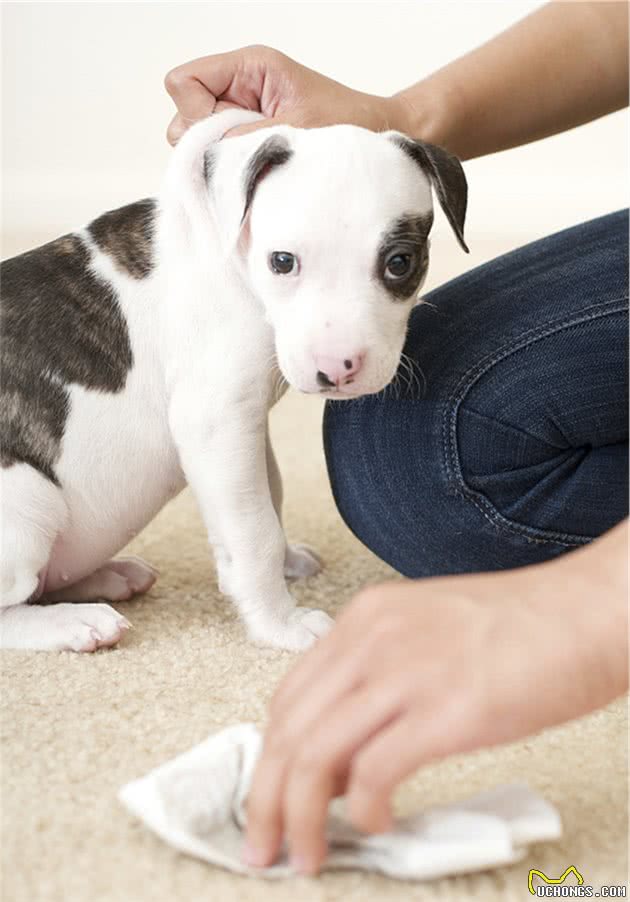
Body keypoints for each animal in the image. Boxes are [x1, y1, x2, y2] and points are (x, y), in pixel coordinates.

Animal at [0, 109, 470, 652]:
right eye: (282, 261)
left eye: (400, 263)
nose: (338, 367)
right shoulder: (217, 421)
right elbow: (255, 531)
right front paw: (279, 623)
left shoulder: (244, 424)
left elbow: (267, 495)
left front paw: (274, 567)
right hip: (28, 504)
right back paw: (74, 623)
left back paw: (106, 578)